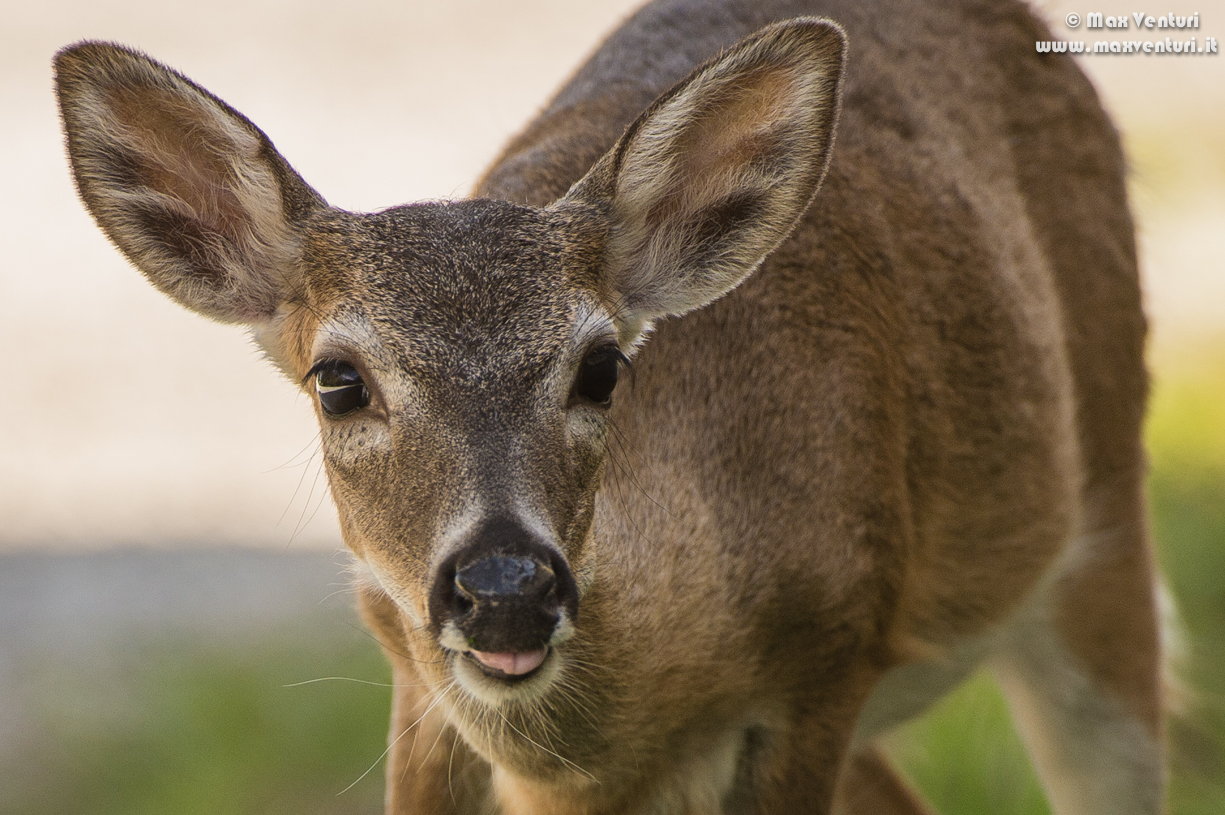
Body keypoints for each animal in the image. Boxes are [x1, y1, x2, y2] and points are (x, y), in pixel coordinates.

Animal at [53, 0, 1164, 812]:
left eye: (601, 368)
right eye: (337, 378)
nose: (505, 585)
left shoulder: (828, 651)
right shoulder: (411, 676)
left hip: (1105, 495)